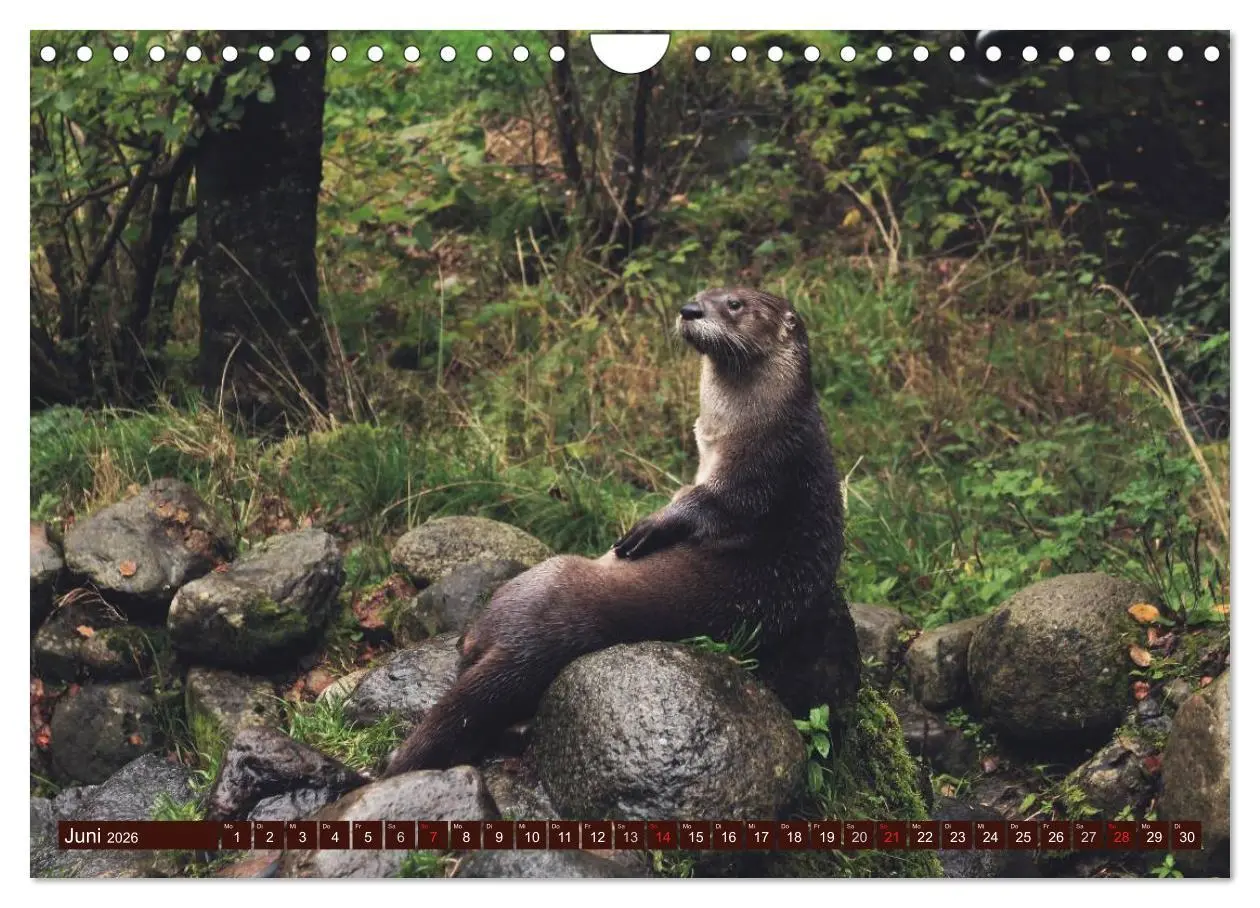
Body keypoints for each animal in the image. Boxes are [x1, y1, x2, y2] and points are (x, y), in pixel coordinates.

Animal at [383, 287, 844, 775]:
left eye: (734, 304)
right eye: (701, 293)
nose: (690, 310)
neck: (760, 424)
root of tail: (527, 646)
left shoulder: (761, 472)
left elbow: (709, 506)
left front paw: (648, 528)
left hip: (539, 579)